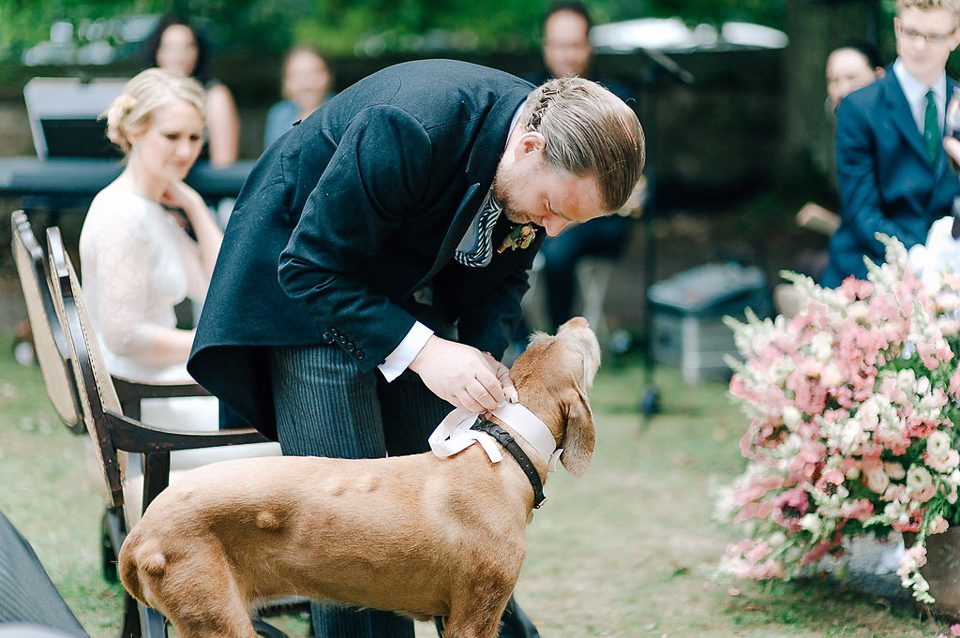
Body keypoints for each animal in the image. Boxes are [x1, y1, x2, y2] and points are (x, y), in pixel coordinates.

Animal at [118, 318, 600, 638]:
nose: (578, 319)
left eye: (543, 337)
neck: (503, 446)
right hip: (217, 621)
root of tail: (139, 532)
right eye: (582, 348)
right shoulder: (475, 615)